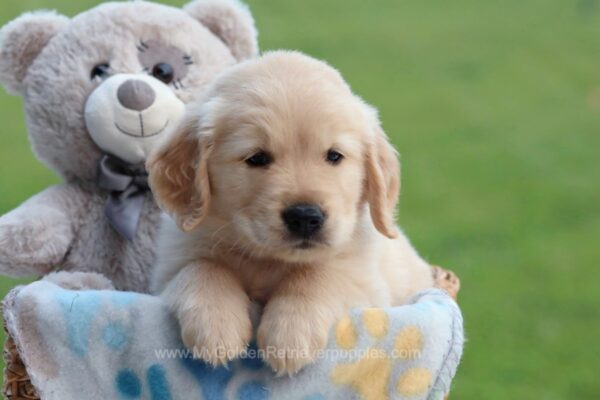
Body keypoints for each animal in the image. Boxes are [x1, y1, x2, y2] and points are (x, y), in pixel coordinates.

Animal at [148, 50, 434, 376]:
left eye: (334, 155)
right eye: (257, 158)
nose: (305, 217)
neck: (269, 261)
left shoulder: (367, 284)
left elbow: (318, 272)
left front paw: (290, 335)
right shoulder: (170, 266)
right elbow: (202, 267)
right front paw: (216, 330)